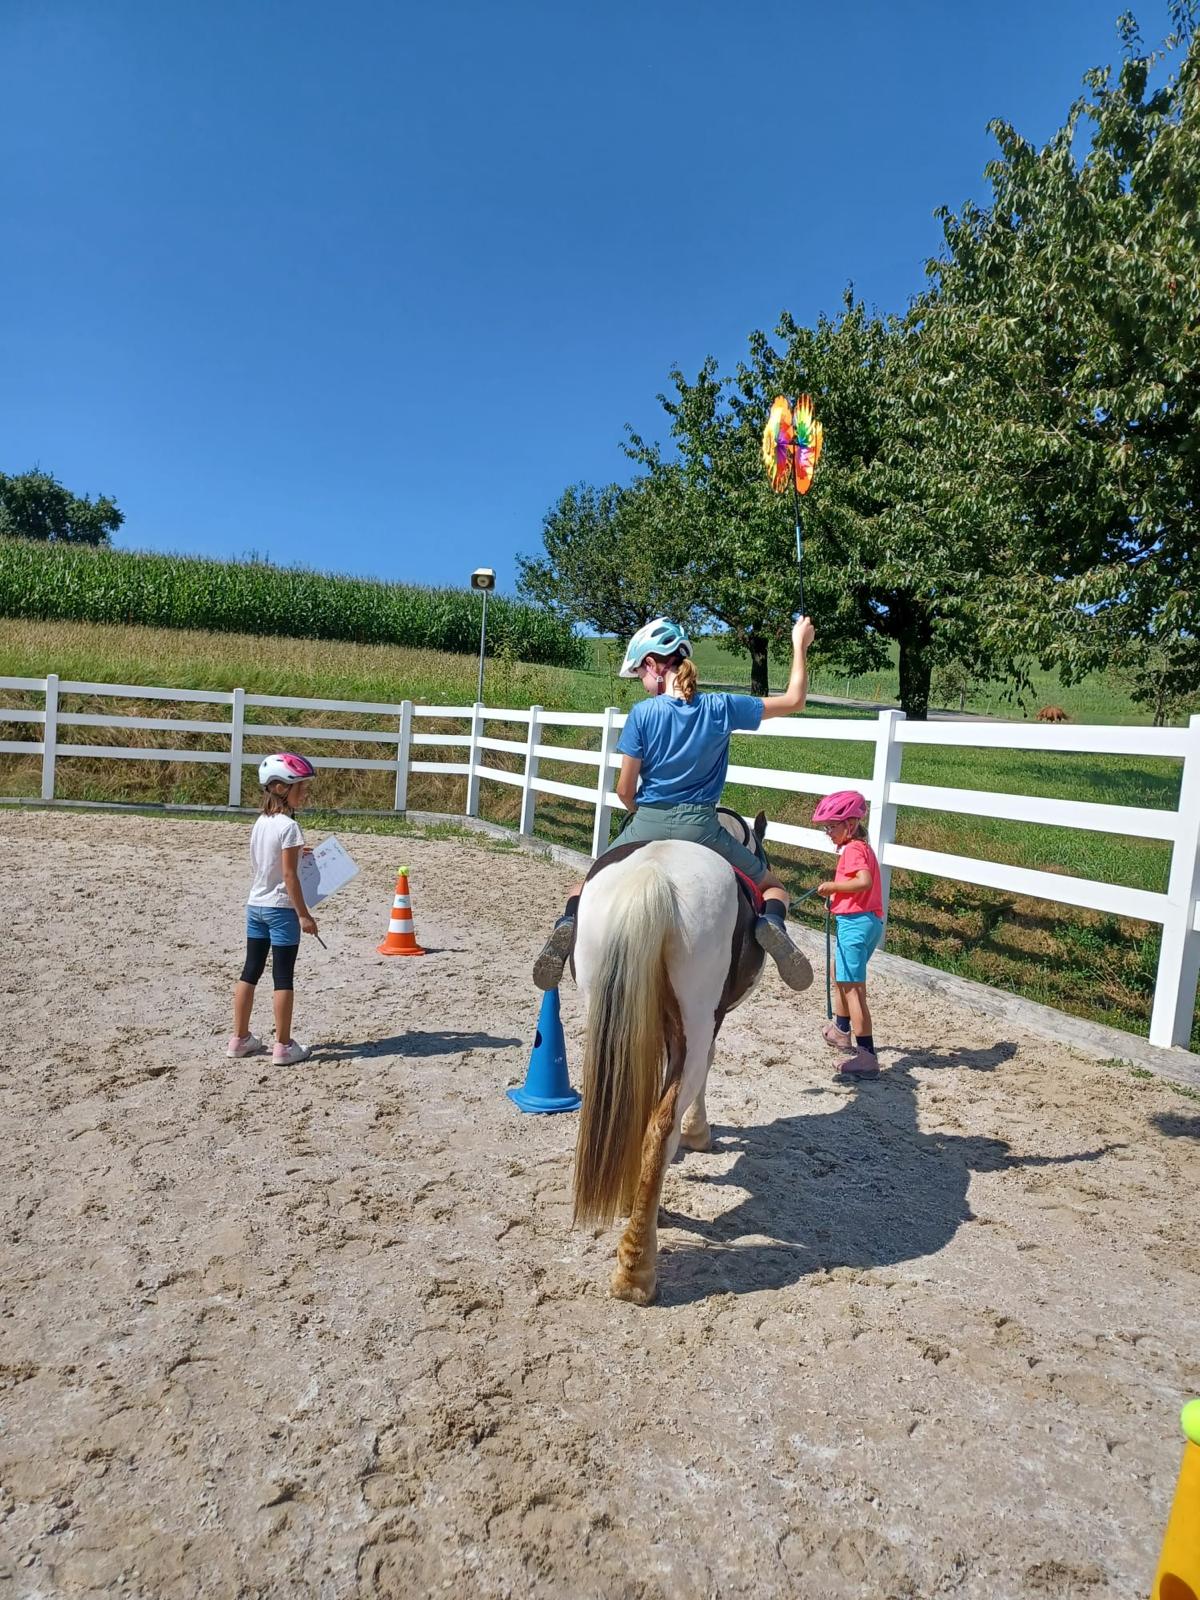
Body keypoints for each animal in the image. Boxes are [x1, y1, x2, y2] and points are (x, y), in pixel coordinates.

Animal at [571, 814, 809, 1304]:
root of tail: (654, 875)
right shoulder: (707, 1024)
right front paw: (699, 1133)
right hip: (696, 1022)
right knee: (660, 1127)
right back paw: (637, 1271)